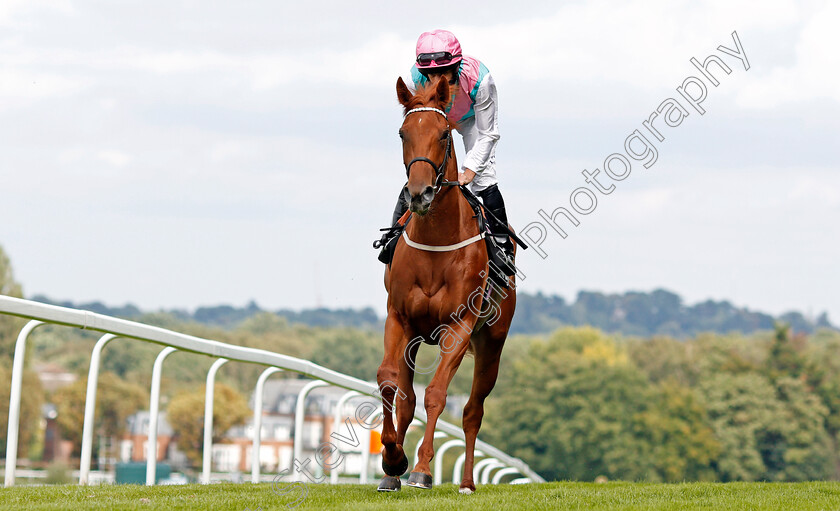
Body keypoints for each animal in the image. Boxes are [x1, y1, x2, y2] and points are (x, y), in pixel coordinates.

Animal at [376, 74, 520, 494]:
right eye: (403, 132)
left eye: (443, 134)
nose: (419, 193)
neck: (437, 243)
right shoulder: (400, 319)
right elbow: (391, 384)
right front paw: (393, 461)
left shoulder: (460, 325)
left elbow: (437, 395)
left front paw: (422, 468)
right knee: (407, 397)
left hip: (492, 343)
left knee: (473, 411)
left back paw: (468, 482)